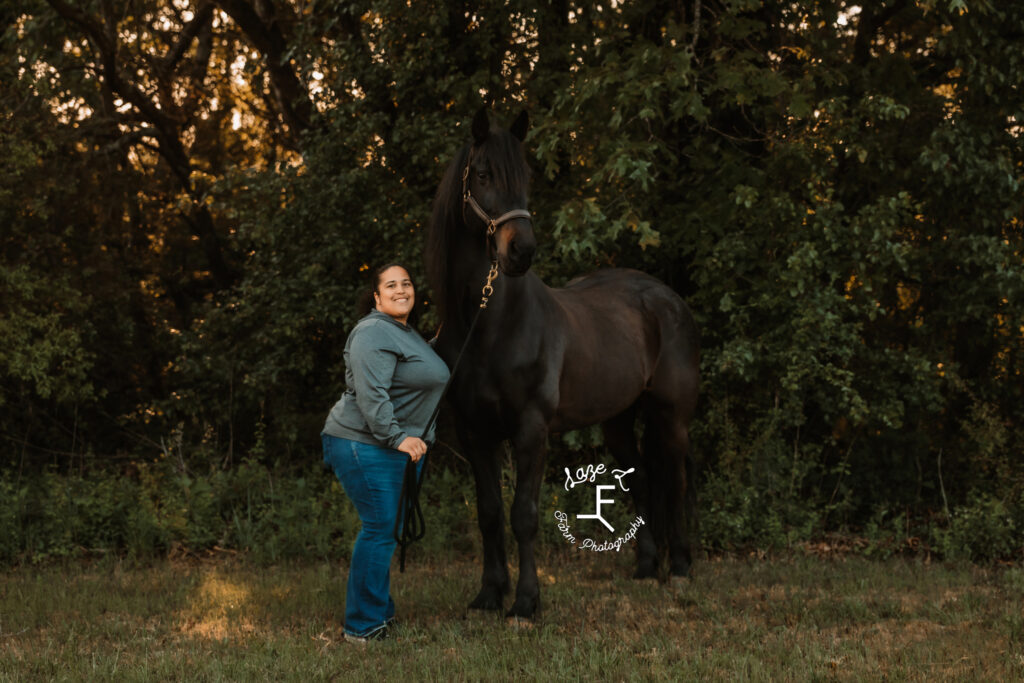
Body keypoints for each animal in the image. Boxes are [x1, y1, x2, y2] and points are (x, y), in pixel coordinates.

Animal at [425, 111, 704, 618]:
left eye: (527, 176)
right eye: (482, 174)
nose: (521, 250)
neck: (491, 324)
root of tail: (667, 299)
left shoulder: (531, 429)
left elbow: (524, 516)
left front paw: (525, 604)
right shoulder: (475, 432)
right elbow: (489, 513)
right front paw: (489, 595)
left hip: (671, 417)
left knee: (673, 480)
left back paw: (678, 569)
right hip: (618, 421)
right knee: (641, 480)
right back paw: (645, 567)